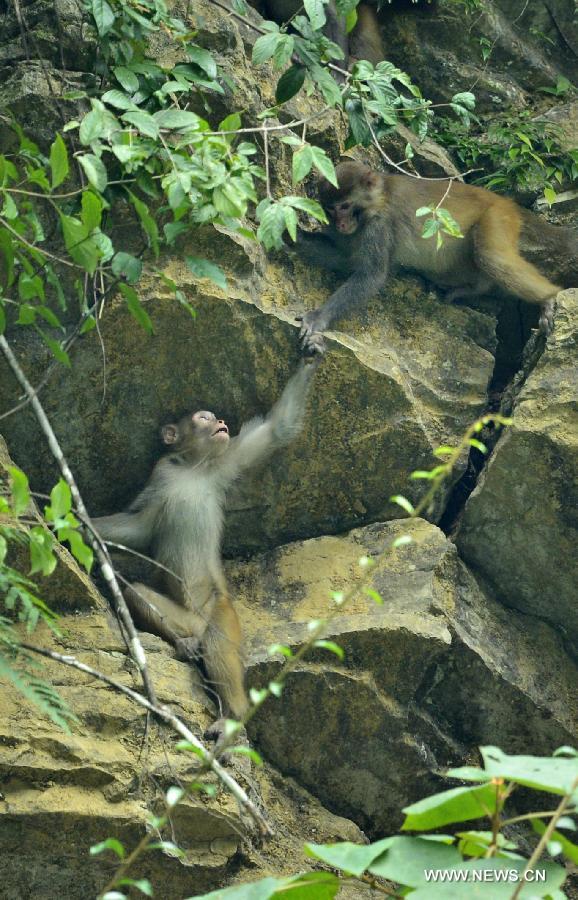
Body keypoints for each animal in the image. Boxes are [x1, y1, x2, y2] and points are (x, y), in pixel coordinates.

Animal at [92, 348, 322, 736]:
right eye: (204, 417)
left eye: (215, 417)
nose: (221, 422)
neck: (194, 467)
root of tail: (198, 621)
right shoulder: (162, 474)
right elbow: (141, 526)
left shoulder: (225, 461)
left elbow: (278, 429)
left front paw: (310, 354)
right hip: (185, 617)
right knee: (139, 593)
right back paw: (184, 644)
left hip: (220, 608)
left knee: (218, 643)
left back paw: (231, 717)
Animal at [294, 160, 572, 346]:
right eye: (330, 209)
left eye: (344, 206)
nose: (341, 224)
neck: (378, 200)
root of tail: (507, 202)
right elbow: (345, 261)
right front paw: (291, 238)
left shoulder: (380, 224)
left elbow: (370, 276)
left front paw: (319, 317)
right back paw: (473, 289)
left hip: (497, 218)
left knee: (491, 256)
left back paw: (548, 298)